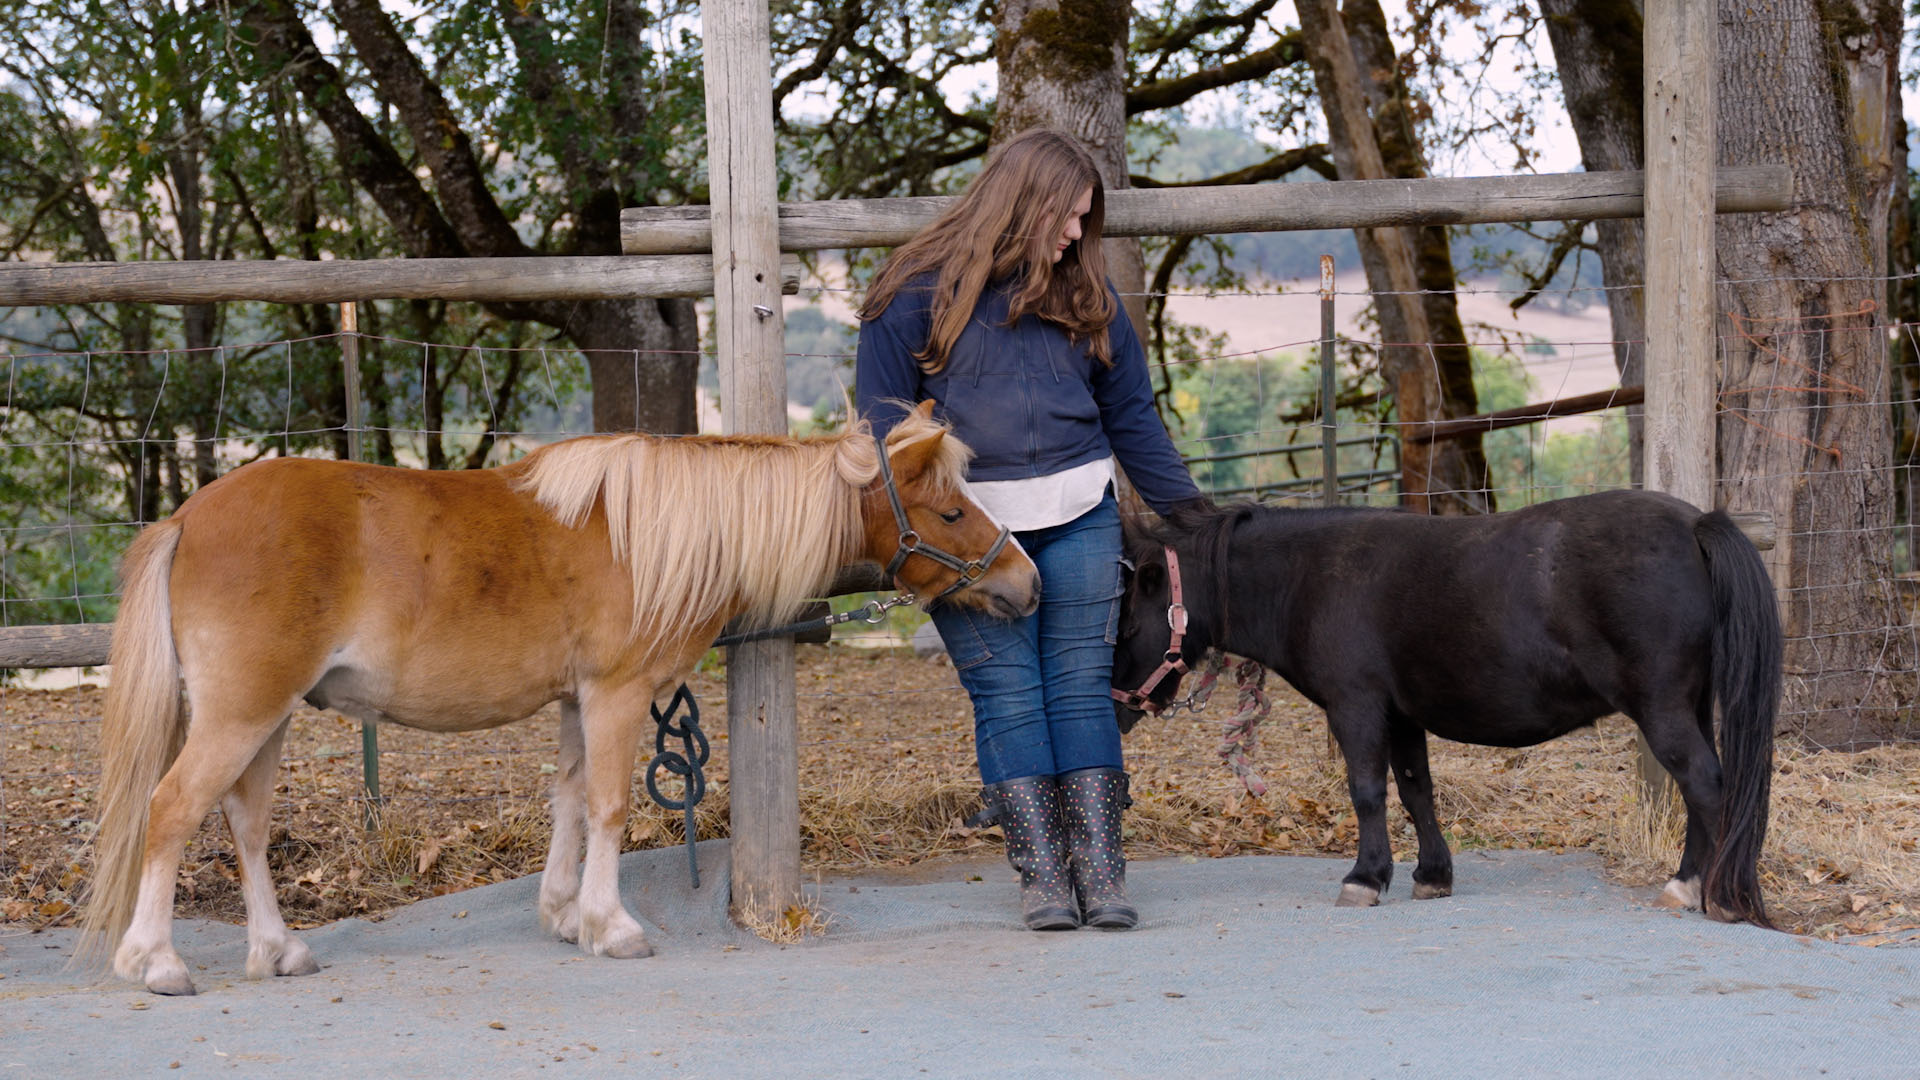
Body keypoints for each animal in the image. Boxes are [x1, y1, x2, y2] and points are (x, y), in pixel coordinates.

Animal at [78, 401, 1036, 991]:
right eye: (951, 512)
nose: (1025, 585)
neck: (657, 534)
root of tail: (188, 518)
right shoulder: (617, 693)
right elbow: (610, 805)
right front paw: (610, 925)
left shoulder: (579, 700)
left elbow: (570, 800)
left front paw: (564, 911)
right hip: (241, 713)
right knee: (171, 811)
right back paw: (155, 960)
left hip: (267, 717)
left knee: (243, 823)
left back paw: (276, 949)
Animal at [1113, 491, 1781, 922]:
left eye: (1125, 625)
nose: (1117, 709)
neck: (1308, 577)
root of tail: (1695, 524)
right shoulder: (1402, 715)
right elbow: (1416, 791)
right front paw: (1431, 875)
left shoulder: (1357, 707)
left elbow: (1367, 792)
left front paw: (1364, 877)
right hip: (1691, 706)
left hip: (1663, 710)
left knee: (1706, 784)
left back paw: (1705, 890)